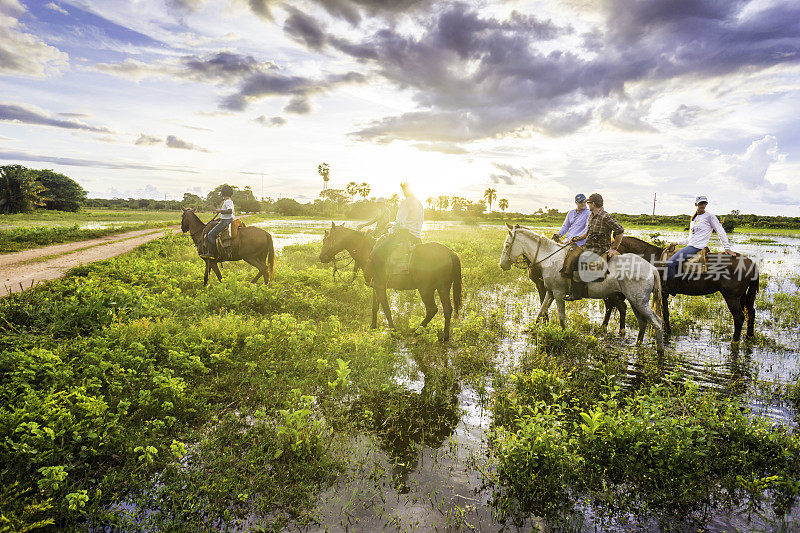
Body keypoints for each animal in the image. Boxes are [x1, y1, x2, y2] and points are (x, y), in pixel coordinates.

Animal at [318, 223, 462, 340]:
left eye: (327, 239)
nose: (321, 257)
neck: (368, 251)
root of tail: (450, 252)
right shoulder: (375, 286)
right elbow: (375, 307)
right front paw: (373, 326)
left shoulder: (381, 286)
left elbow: (386, 309)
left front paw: (393, 332)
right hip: (443, 287)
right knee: (448, 309)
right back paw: (445, 336)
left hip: (425, 289)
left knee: (432, 309)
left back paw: (416, 331)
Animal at [500, 223, 664, 354]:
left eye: (507, 245)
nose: (502, 265)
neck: (551, 258)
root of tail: (651, 268)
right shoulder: (550, 292)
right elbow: (541, 311)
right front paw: (532, 330)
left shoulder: (558, 293)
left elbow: (561, 317)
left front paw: (564, 335)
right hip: (635, 300)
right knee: (642, 322)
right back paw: (637, 345)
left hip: (638, 301)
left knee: (656, 322)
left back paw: (660, 352)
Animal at [612, 236, 756, 340]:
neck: (652, 260)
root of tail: (751, 263)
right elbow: (665, 313)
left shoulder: (662, 293)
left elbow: (665, 313)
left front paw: (668, 331)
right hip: (741, 296)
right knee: (750, 312)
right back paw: (748, 337)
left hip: (731, 297)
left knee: (739, 317)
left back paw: (735, 341)